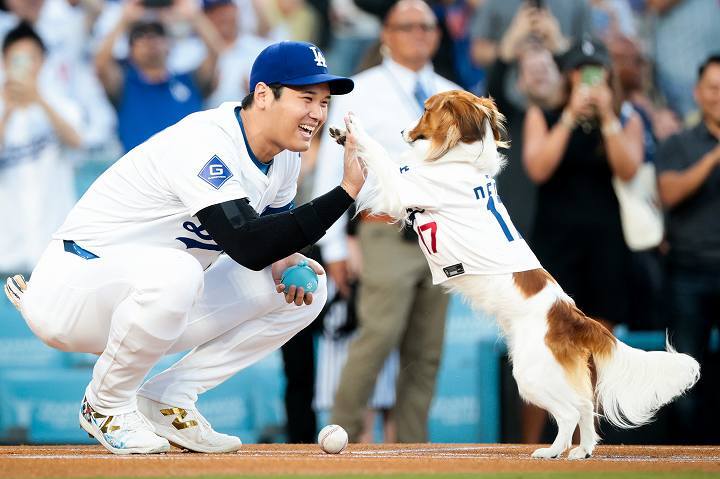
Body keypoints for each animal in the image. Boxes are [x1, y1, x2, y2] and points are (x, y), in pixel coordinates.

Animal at [330, 90, 696, 462]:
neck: (459, 160)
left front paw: (354, 129)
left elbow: (379, 154)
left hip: (530, 373)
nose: (404, 130)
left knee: (569, 412)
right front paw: (343, 135)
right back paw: (582, 451)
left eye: (426, 110)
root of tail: (573, 316)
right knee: (583, 405)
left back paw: (552, 451)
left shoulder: (402, 189)